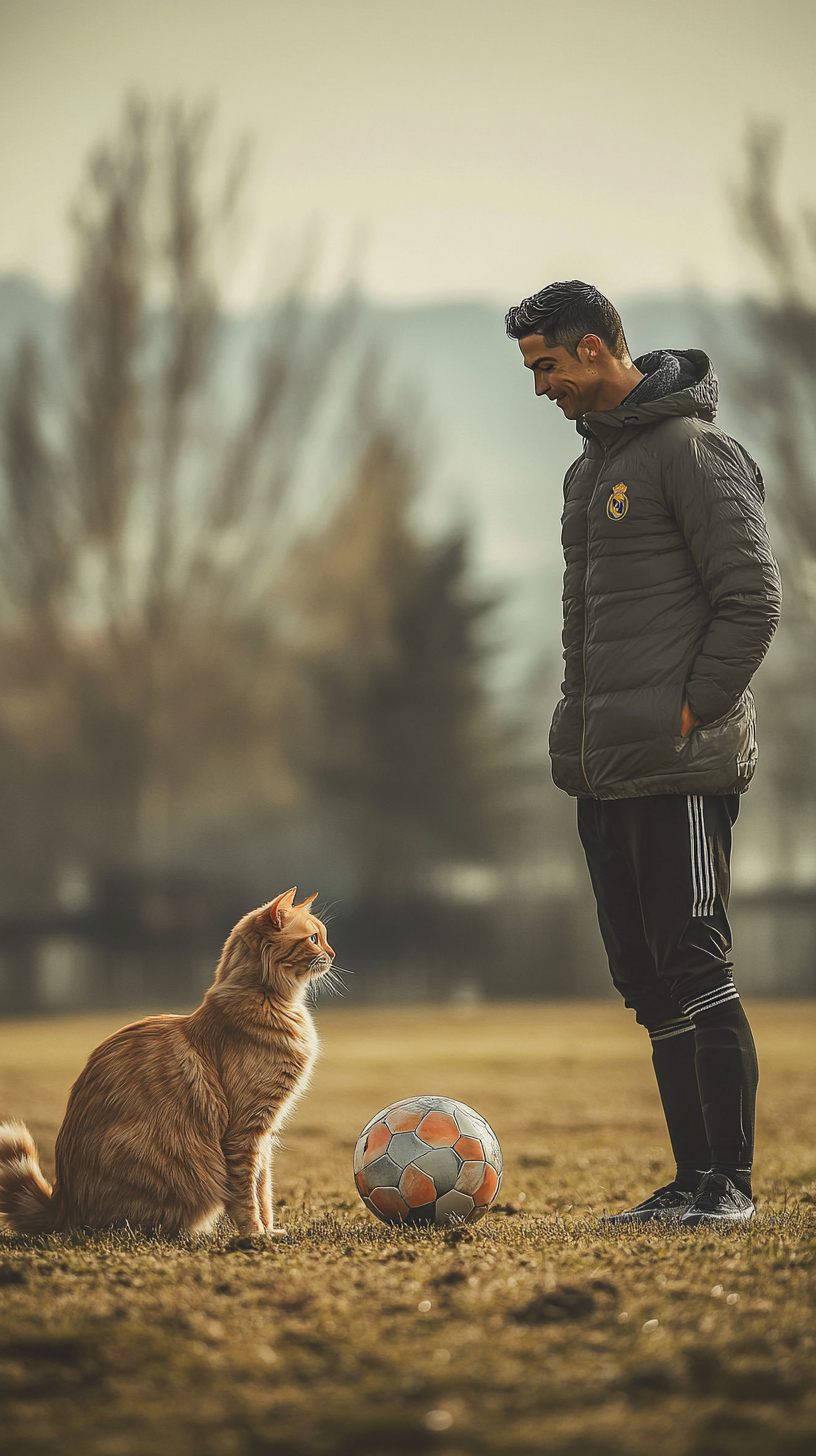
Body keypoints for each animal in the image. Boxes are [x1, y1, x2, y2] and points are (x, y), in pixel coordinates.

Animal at [0, 891, 335, 1234]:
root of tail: (61, 1204)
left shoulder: (264, 1133)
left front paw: (269, 1230)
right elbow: (246, 1192)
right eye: (314, 938)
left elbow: (263, 1188)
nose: (333, 954)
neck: (273, 1001)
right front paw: (255, 1233)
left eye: (323, 937)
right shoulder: (245, 1131)